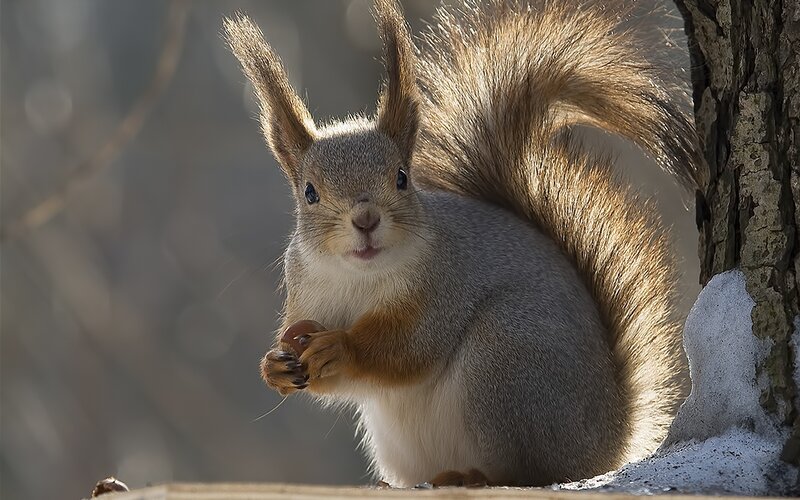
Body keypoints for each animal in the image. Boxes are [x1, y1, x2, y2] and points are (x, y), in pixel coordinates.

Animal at [224, 0, 703, 488]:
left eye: (402, 177)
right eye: (309, 192)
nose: (365, 219)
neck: (360, 277)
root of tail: (610, 440)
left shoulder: (445, 285)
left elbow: (409, 348)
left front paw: (342, 347)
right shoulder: (307, 295)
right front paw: (274, 367)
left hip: (506, 359)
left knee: (531, 469)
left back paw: (473, 476)